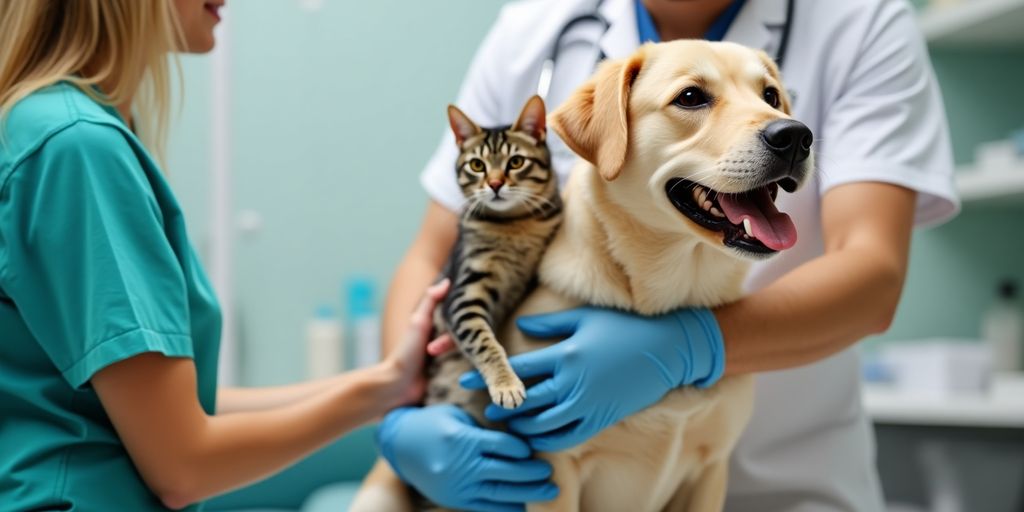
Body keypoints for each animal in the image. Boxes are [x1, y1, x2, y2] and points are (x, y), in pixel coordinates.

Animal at [428, 95, 565, 407]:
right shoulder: (462, 295)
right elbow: (483, 341)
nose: (494, 184)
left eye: (516, 161)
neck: (514, 225)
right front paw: (506, 384)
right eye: (477, 165)